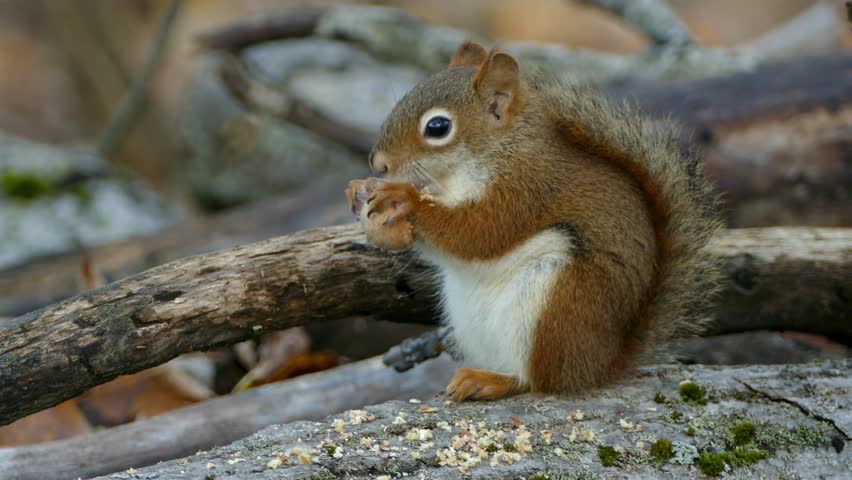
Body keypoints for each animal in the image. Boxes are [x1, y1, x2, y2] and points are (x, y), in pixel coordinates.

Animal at [346, 41, 721, 402]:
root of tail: (600, 366)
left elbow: (479, 232)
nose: (378, 163)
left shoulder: (525, 188)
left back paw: (492, 382)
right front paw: (357, 190)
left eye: (438, 127)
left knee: (542, 381)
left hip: (556, 301)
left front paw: (404, 199)